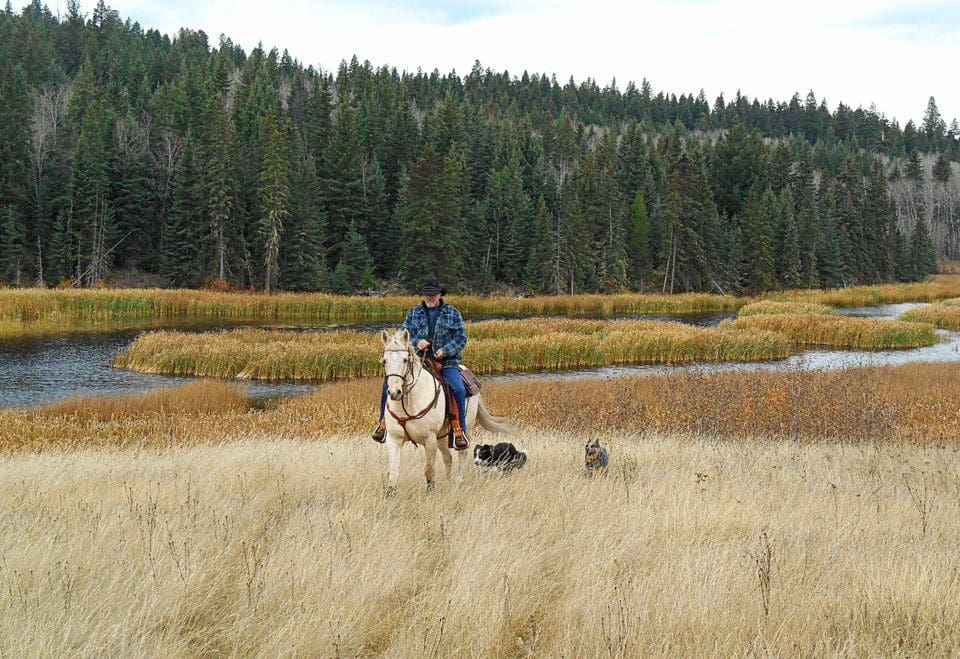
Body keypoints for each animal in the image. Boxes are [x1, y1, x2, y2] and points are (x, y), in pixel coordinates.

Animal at [378, 328, 510, 492]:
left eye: (405, 360)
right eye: (385, 361)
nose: (394, 392)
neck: (409, 403)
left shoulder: (429, 439)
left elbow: (429, 470)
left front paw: (431, 491)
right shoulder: (394, 439)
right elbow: (394, 473)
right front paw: (390, 494)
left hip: (465, 429)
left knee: (462, 453)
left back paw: (458, 482)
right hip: (441, 436)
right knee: (448, 457)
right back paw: (448, 481)